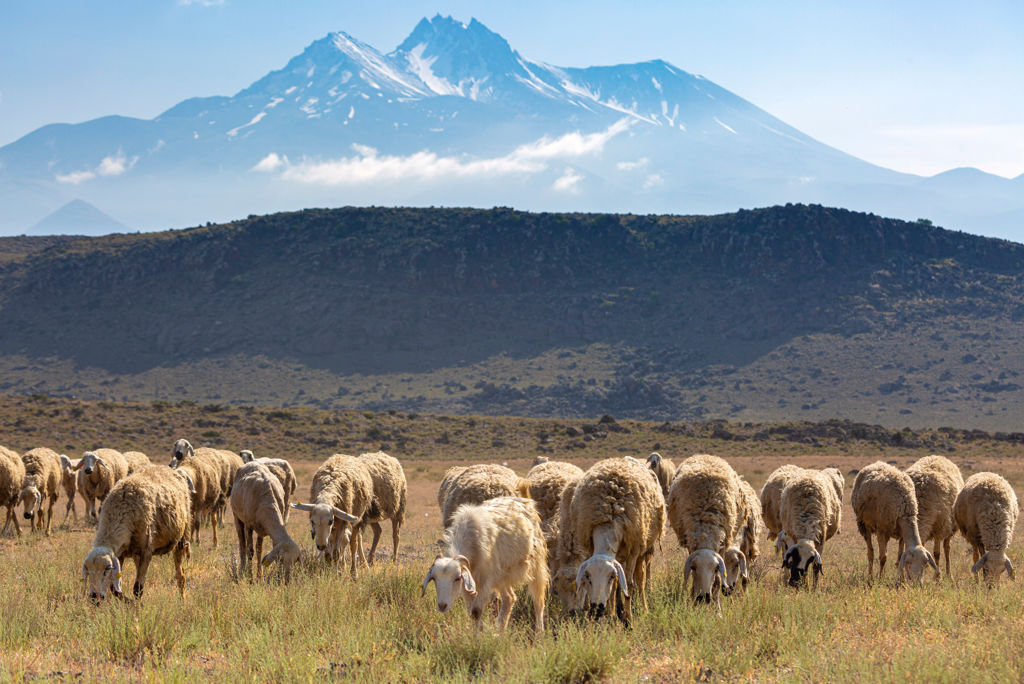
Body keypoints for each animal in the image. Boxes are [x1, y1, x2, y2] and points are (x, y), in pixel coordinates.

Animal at [81, 465, 194, 602]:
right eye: (87, 569)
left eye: (107, 568)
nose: (95, 597)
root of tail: (173, 470)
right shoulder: (121, 554)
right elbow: (114, 589)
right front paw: (129, 602)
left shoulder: (146, 552)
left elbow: (137, 589)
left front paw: (136, 605)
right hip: (136, 553)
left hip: (181, 539)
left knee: (180, 575)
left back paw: (183, 600)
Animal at [422, 496, 548, 632]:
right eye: (434, 579)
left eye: (457, 578)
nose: (442, 606)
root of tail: (523, 500)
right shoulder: (469, 582)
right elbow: (470, 611)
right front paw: (483, 631)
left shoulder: (485, 579)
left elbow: (475, 611)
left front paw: (478, 636)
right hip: (502, 575)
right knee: (509, 598)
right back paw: (500, 631)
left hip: (536, 564)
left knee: (538, 601)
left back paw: (539, 631)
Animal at [566, 457, 665, 624]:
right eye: (588, 577)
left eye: (610, 576)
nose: (597, 609)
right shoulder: (590, 549)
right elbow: (616, 587)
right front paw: (610, 616)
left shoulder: (633, 552)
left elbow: (629, 585)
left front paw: (628, 618)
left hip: (643, 547)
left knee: (640, 579)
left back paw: (643, 608)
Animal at [667, 454, 743, 606]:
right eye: (694, 567)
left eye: (715, 568)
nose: (703, 597)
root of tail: (706, 455)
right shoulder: (691, 544)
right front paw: (693, 602)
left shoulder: (721, 545)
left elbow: (718, 581)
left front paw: (716, 607)